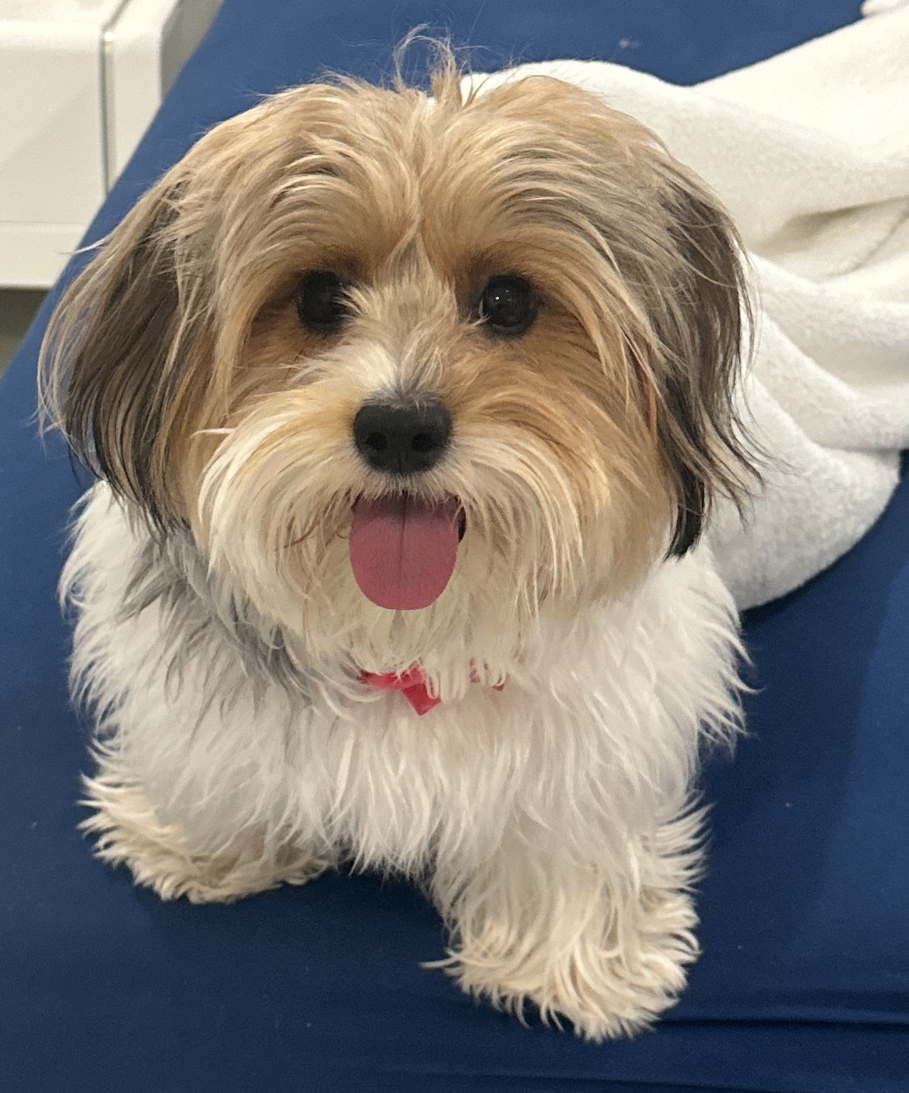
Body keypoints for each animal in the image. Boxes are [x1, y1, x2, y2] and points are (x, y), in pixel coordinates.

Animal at [40, 58, 755, 1040]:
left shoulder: (595, 733)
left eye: (506, 302)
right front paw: (208, 842)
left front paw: (568, 958)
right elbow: (221, 761)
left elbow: (565, 831)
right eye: (316, 297)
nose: (400, 426)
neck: (405, 635)